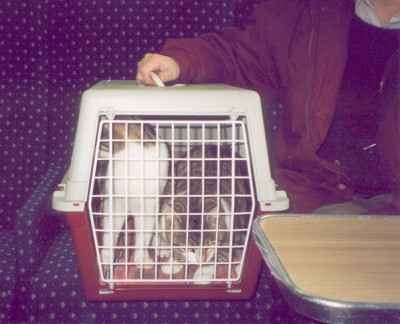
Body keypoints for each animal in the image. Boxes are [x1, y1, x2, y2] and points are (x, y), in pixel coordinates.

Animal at [52, 79, 288, 300]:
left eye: (98, 141)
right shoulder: (115, 203)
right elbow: (110, 233)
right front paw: (106, 262)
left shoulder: (149, 205)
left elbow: (145, 236)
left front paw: (143, 260)